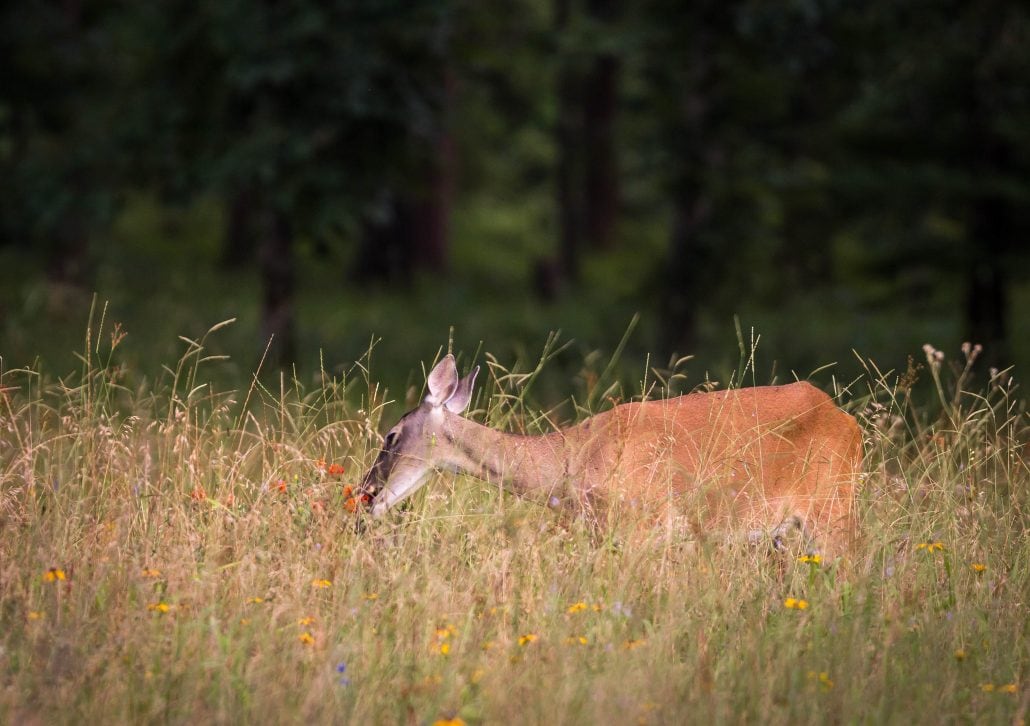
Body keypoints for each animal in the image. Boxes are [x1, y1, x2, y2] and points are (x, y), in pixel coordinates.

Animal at [357, 354, 863, 556]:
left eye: (391, 435)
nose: (365, 496)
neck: (570, 462)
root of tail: (848, 422)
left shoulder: (640, 523)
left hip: (832, 508)